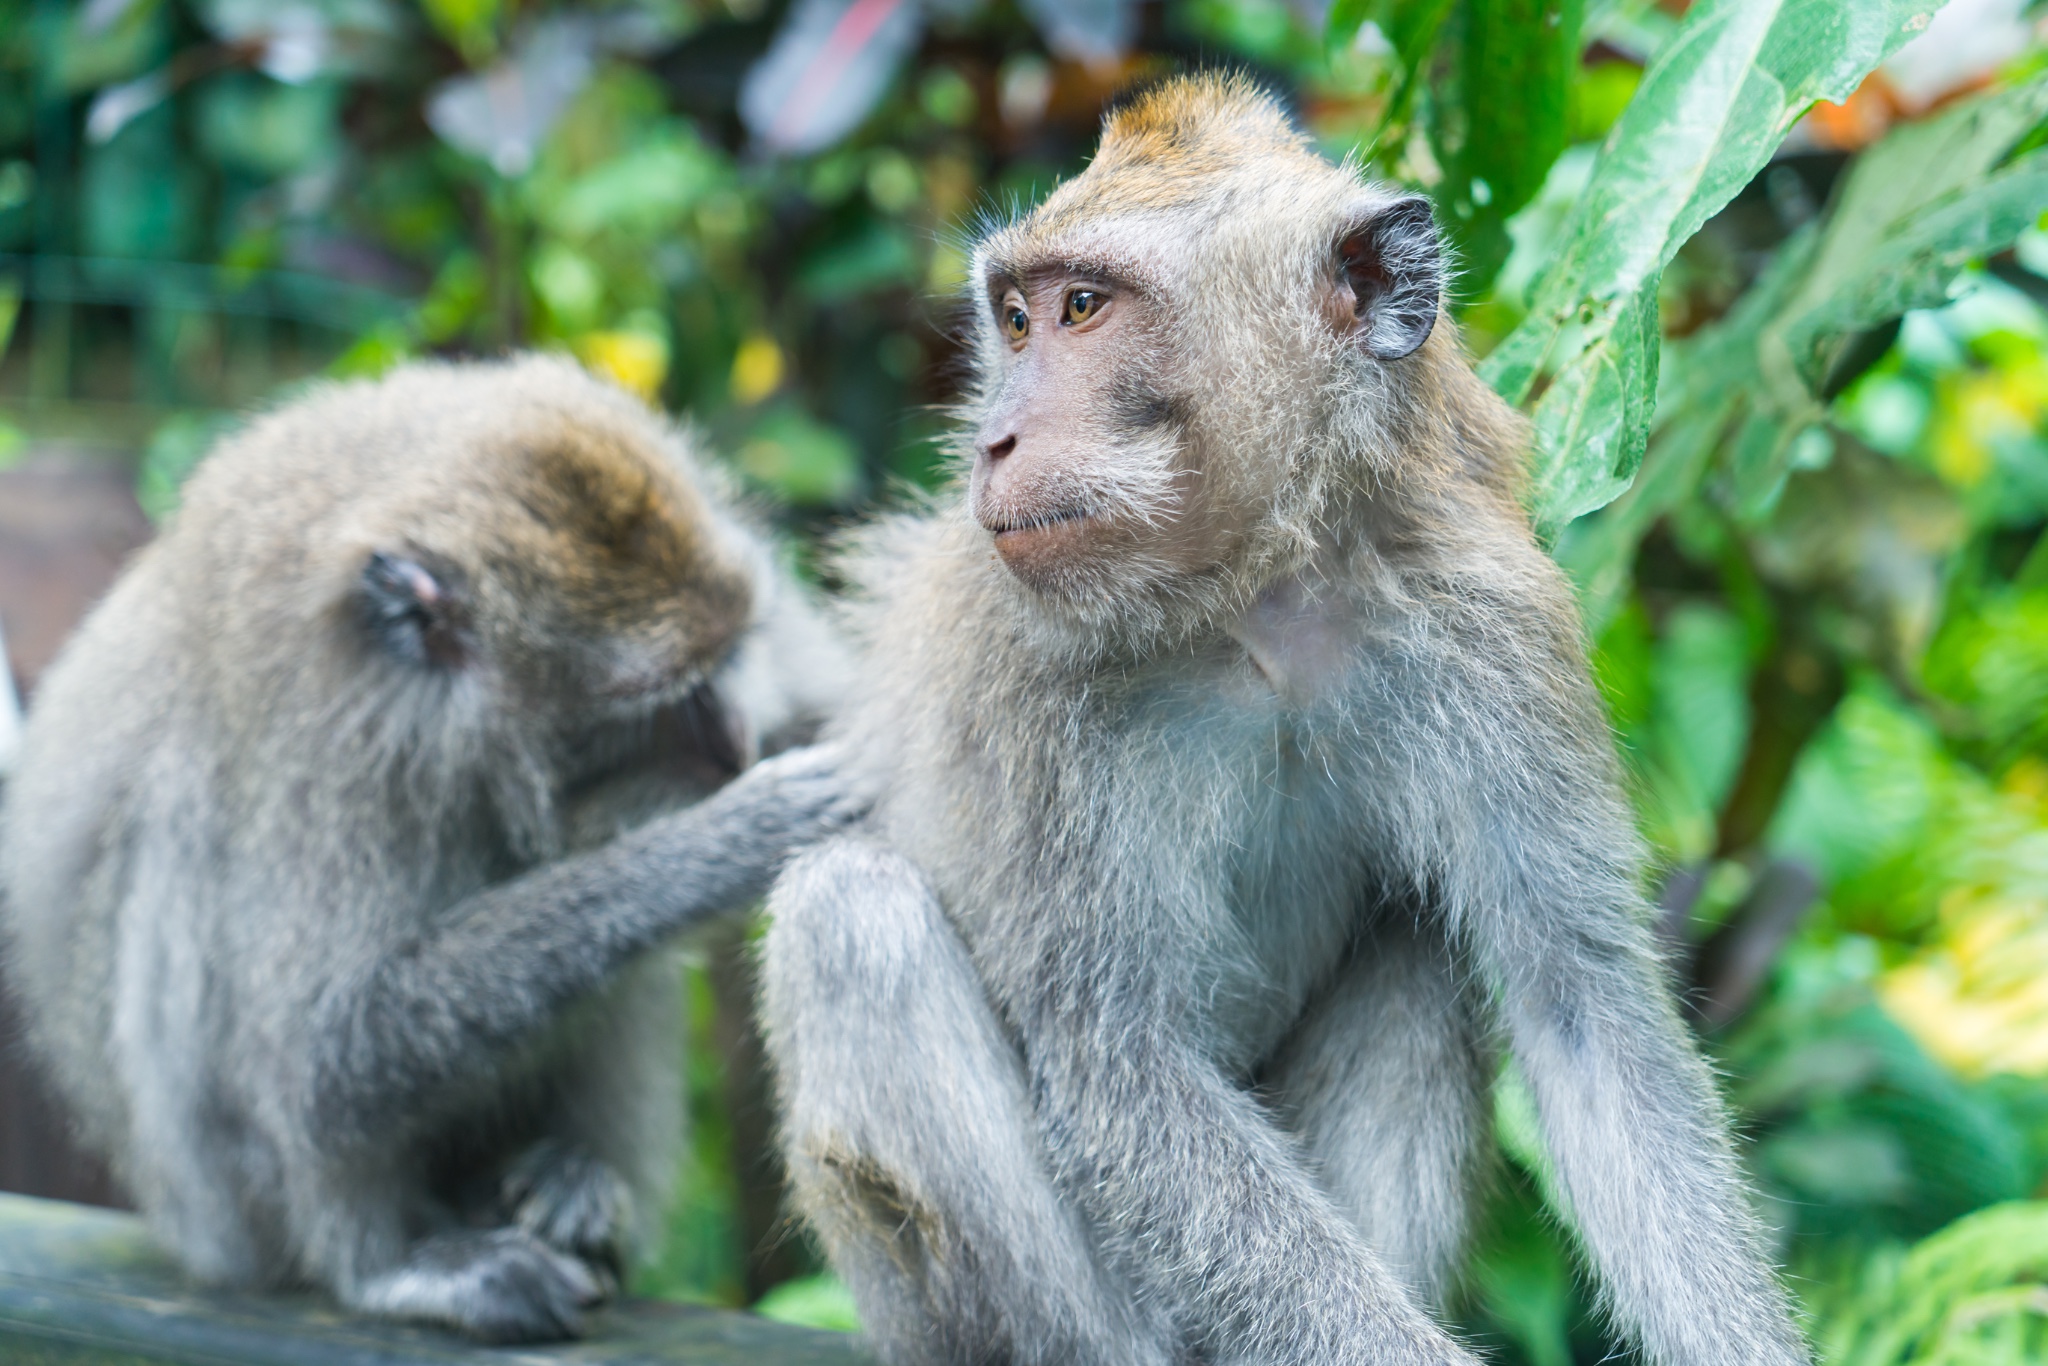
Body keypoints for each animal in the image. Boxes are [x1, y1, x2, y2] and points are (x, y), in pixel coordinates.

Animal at [0, 356, 856, 1343]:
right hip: (219, 1215)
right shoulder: (329, 766)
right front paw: (735, 838)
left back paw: (570, 1187)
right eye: (659, 699)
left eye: (734, 655)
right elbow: (323, 1053)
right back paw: (394, 1266)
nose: (737, 741)